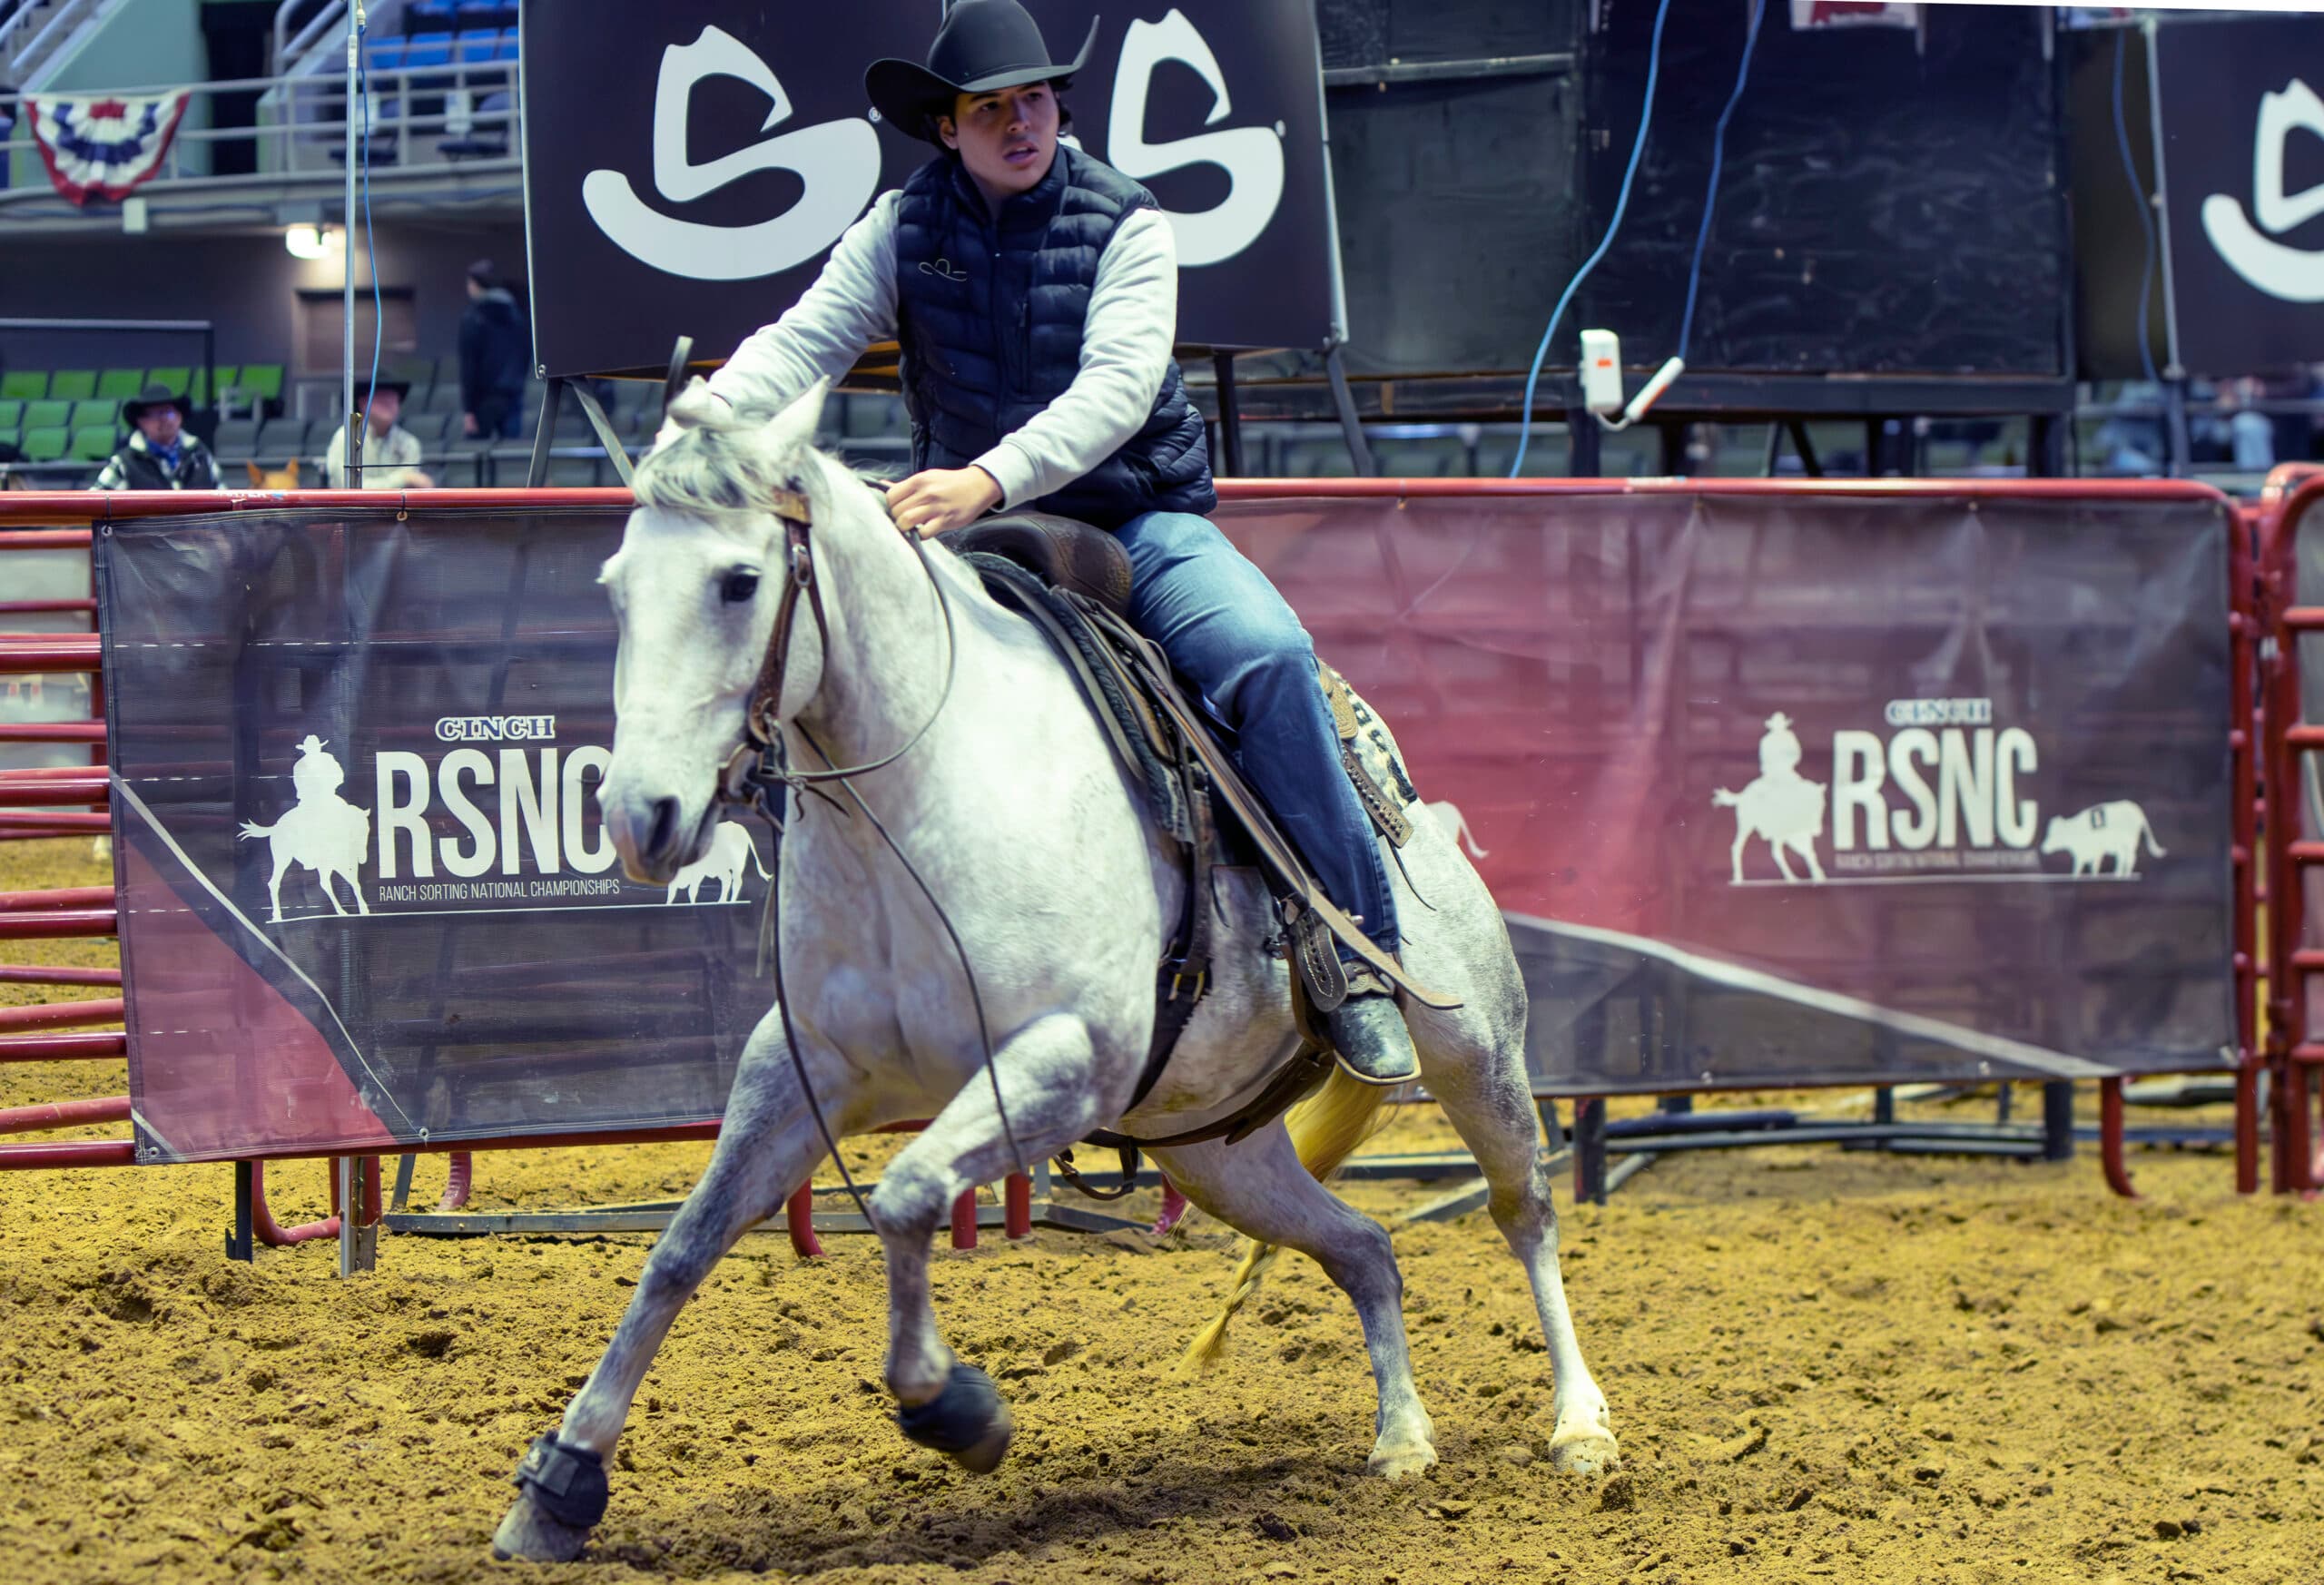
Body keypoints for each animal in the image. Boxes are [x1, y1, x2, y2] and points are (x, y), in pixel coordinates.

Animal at [490, 381, 1617, 1564]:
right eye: (617, 586)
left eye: (738, 580)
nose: (641, 817)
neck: (924, 798)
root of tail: (1399, 792)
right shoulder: (801, 1070)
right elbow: (682, 1246)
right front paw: (559, 1484)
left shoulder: (1060, 1066)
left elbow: (903, 1194)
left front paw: (954, 1408)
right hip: (1215, 1155)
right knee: (1364, 1247)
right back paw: (1401, 1438)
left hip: (1477, 1053)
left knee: (1524, 1212)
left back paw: (1579, 1426)